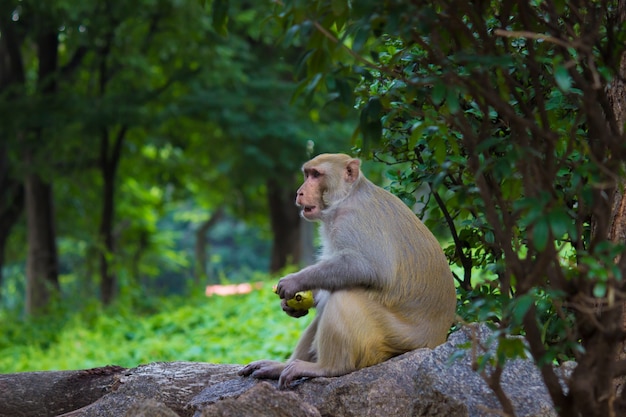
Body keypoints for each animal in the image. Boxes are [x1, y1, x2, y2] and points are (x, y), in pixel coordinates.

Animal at [239, 152, 454, 386]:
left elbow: (369, 268)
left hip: (395, 340)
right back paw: (280, 367)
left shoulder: (352, 220)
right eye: (307, 174)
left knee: (345, 294)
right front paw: (294, 304)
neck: (346, 197)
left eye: (316, 175)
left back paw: (328, 368)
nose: (299, 192)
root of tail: (435, 340)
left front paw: (295, 281)